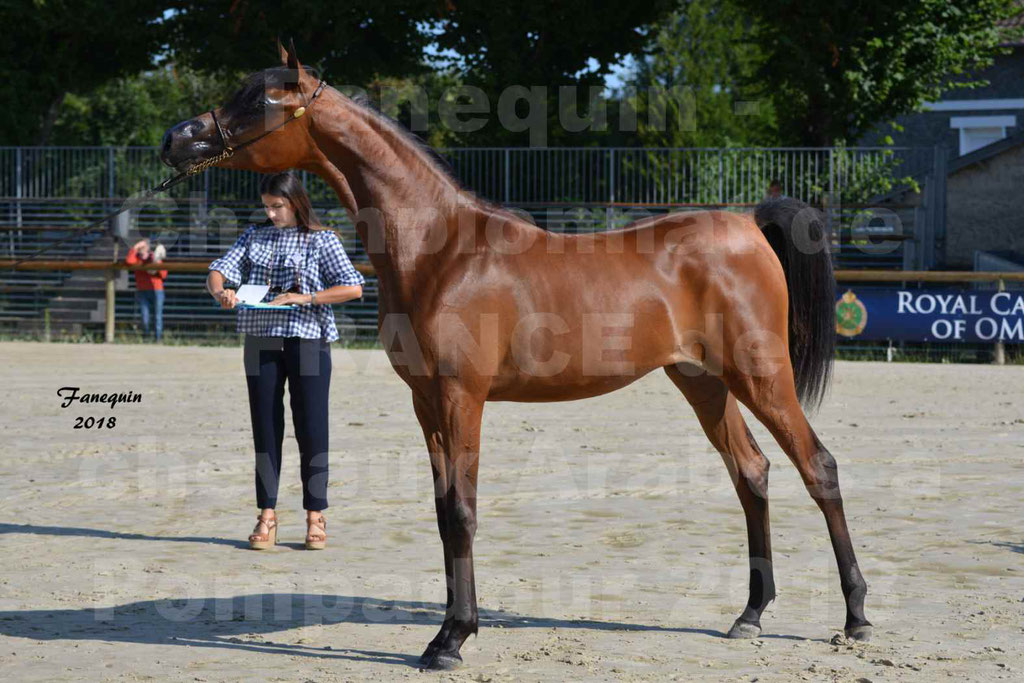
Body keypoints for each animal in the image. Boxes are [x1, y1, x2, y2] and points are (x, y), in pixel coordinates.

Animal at [159, 44, 872, 671]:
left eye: (262, 99)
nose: (175, 138)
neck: (440, 251)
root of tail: (749, 225)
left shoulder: (462, 397)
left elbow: (464, 510)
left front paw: (451, 640)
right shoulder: (426, 403)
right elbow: (444, 513)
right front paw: (449, 630)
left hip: (761, 374)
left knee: (819, 468)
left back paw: (856, 617)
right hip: (703, 382)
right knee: (752, 474)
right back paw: (750, 614)